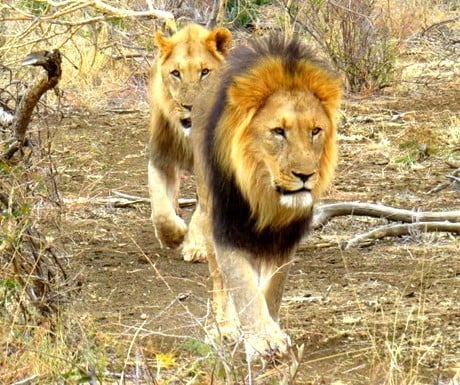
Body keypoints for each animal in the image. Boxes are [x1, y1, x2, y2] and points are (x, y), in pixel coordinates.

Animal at [147, 23, 232, 258]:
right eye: (176, 73)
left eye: (205, 72)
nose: (190, 106)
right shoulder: (160, 158)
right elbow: (159, 206)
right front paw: (173, 236)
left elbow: (202, 211)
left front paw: (196, 246)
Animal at [190, 34, 342, 358]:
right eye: (278, 131)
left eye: (315, 131)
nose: (305, 175)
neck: (265, 195)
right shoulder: (227, 226)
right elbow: (243, 286)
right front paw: (262, 340)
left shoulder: (286, 236)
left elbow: (272, 288)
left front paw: (272, 330)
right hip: (207, 209)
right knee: (219, 279)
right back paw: (226, 328)